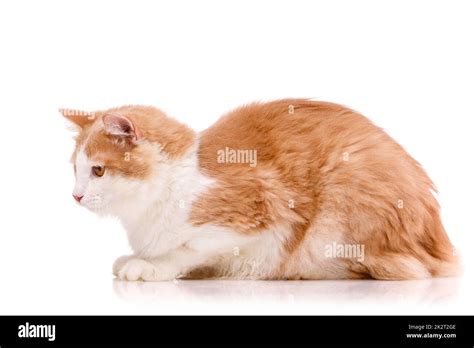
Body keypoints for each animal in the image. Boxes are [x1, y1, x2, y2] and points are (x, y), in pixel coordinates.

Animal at [61, 99, 462, 282]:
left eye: (98, 170)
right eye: (75, 170)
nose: (76, 196)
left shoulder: (263, 210)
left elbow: (187, 249)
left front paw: (151, 266)